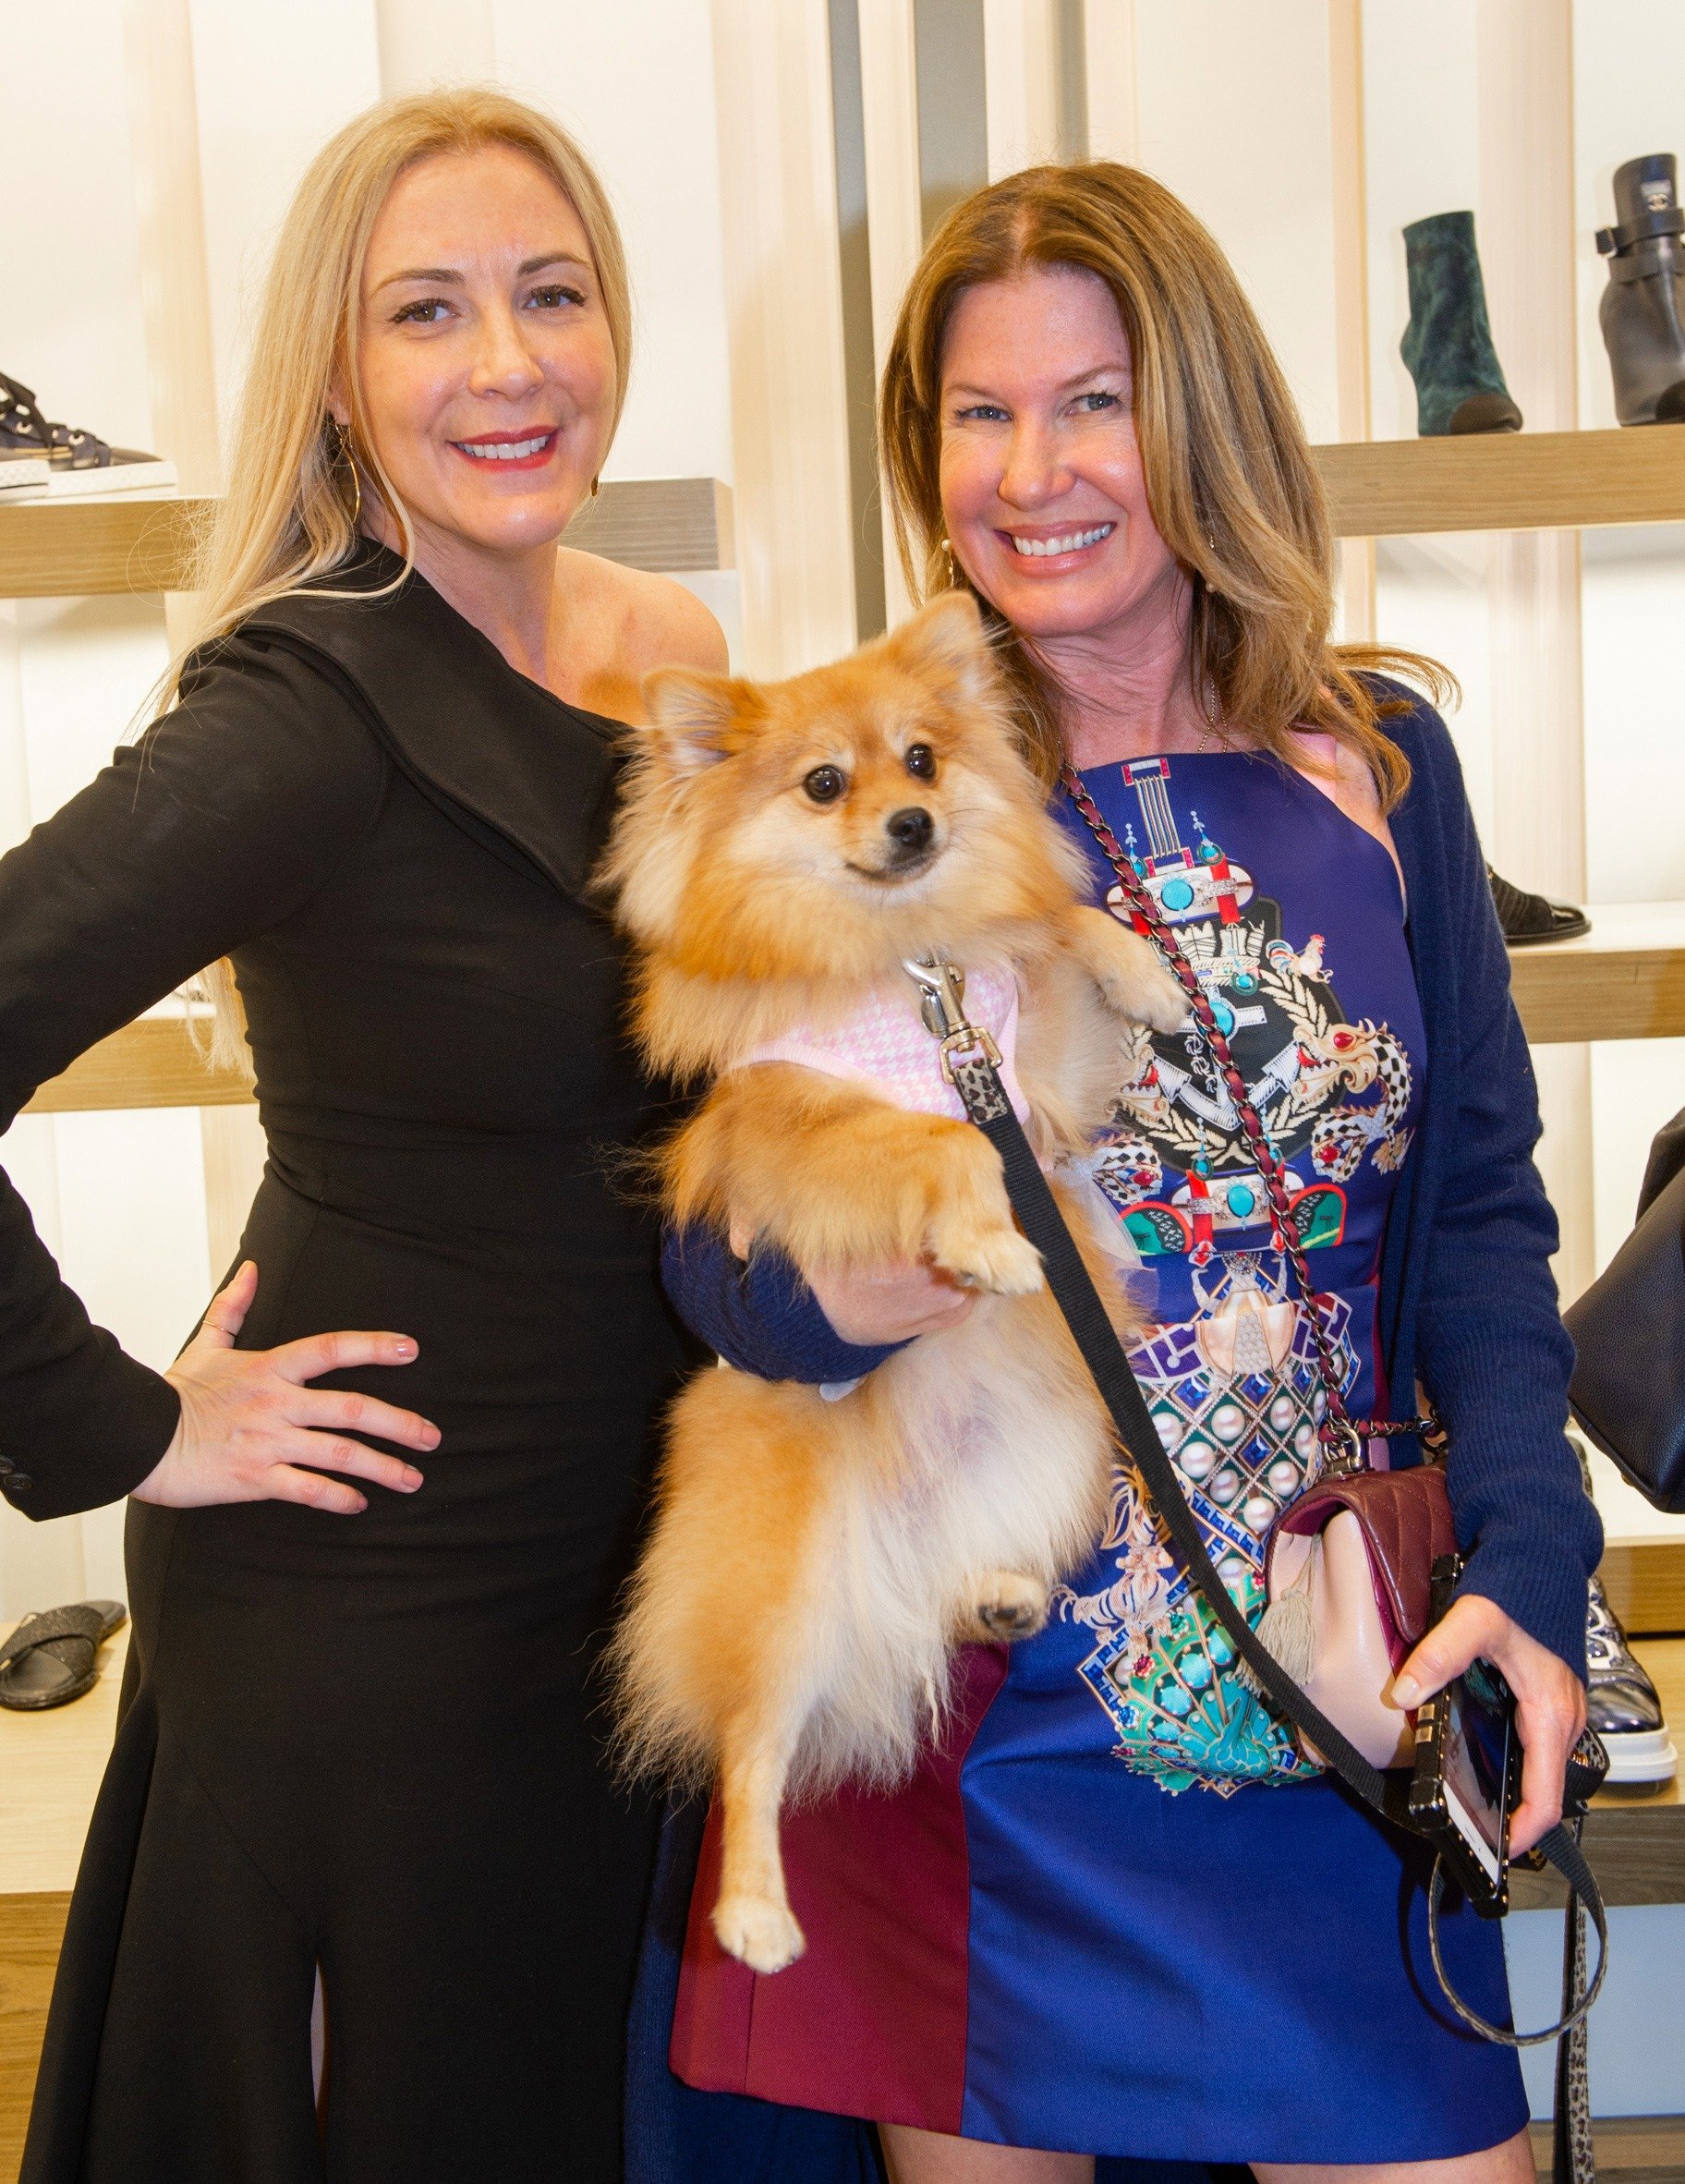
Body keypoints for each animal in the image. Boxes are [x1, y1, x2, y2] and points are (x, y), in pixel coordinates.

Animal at [598, 589, 1178, 1974]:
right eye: (824, 784)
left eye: (922, 761)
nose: (911, 821)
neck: (910, 971)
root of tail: (891, 1559)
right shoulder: (798, 1128)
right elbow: (945, 1143)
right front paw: (987, 1242)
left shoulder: (1041, 1081)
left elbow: (1053, 933)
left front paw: (1146, 974)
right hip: (784, 1589)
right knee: (754, 1745)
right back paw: (753, 1914)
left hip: (1066, 1447)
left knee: (972, 1573)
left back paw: (1002, 1592)